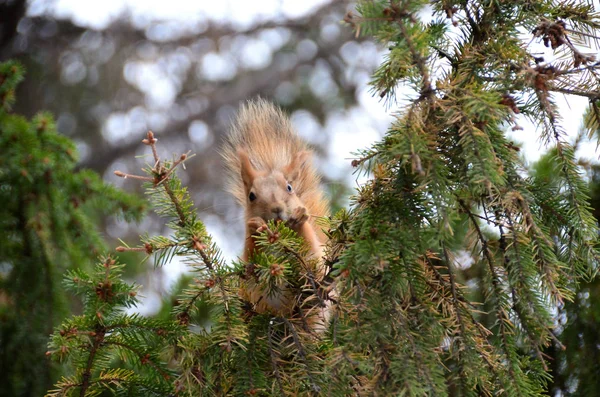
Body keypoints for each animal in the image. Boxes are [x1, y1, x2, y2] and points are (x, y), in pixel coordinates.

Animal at [223, 99, 330, 316]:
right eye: (251, 196)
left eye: (289, 187)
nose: (277, 208)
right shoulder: (249, 260)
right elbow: (252, 256)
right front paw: (257, 226)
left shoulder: (313, 255)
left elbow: (309, 248)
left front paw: (299, 219)